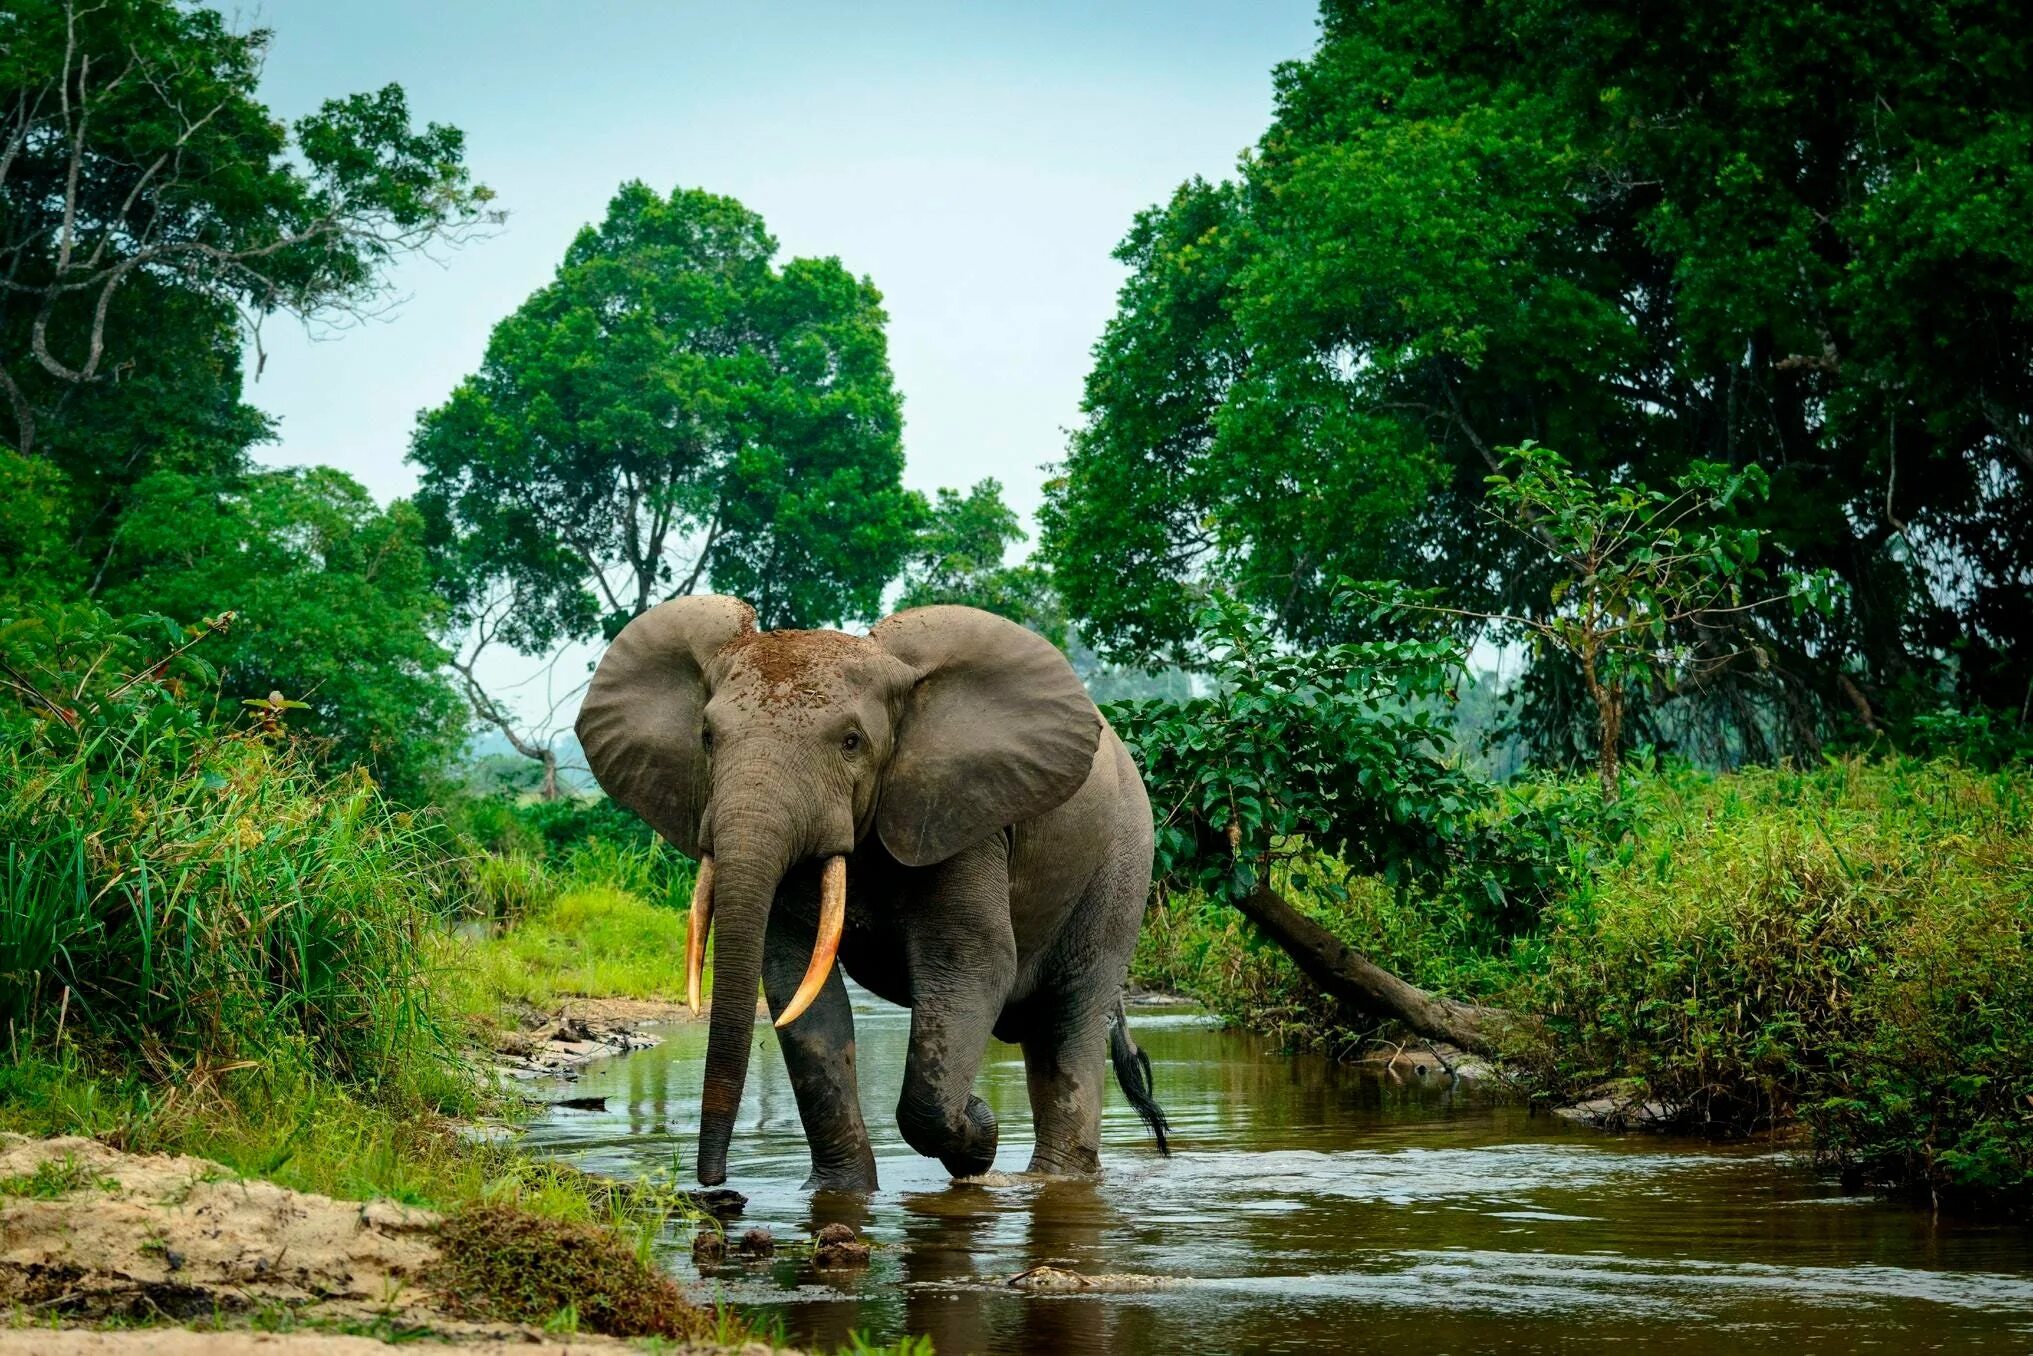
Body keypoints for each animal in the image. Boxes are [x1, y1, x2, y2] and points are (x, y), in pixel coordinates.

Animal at [581, 593, 1171, 1187]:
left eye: (851, 743)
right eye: (706, 738)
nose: (714, 1182)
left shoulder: (963, 817)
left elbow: (973, 962)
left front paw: (978, 1133)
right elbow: (797, 983)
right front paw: (839, 1192)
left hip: (1122, 865)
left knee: (1071, 1018)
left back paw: (1053, 1181)